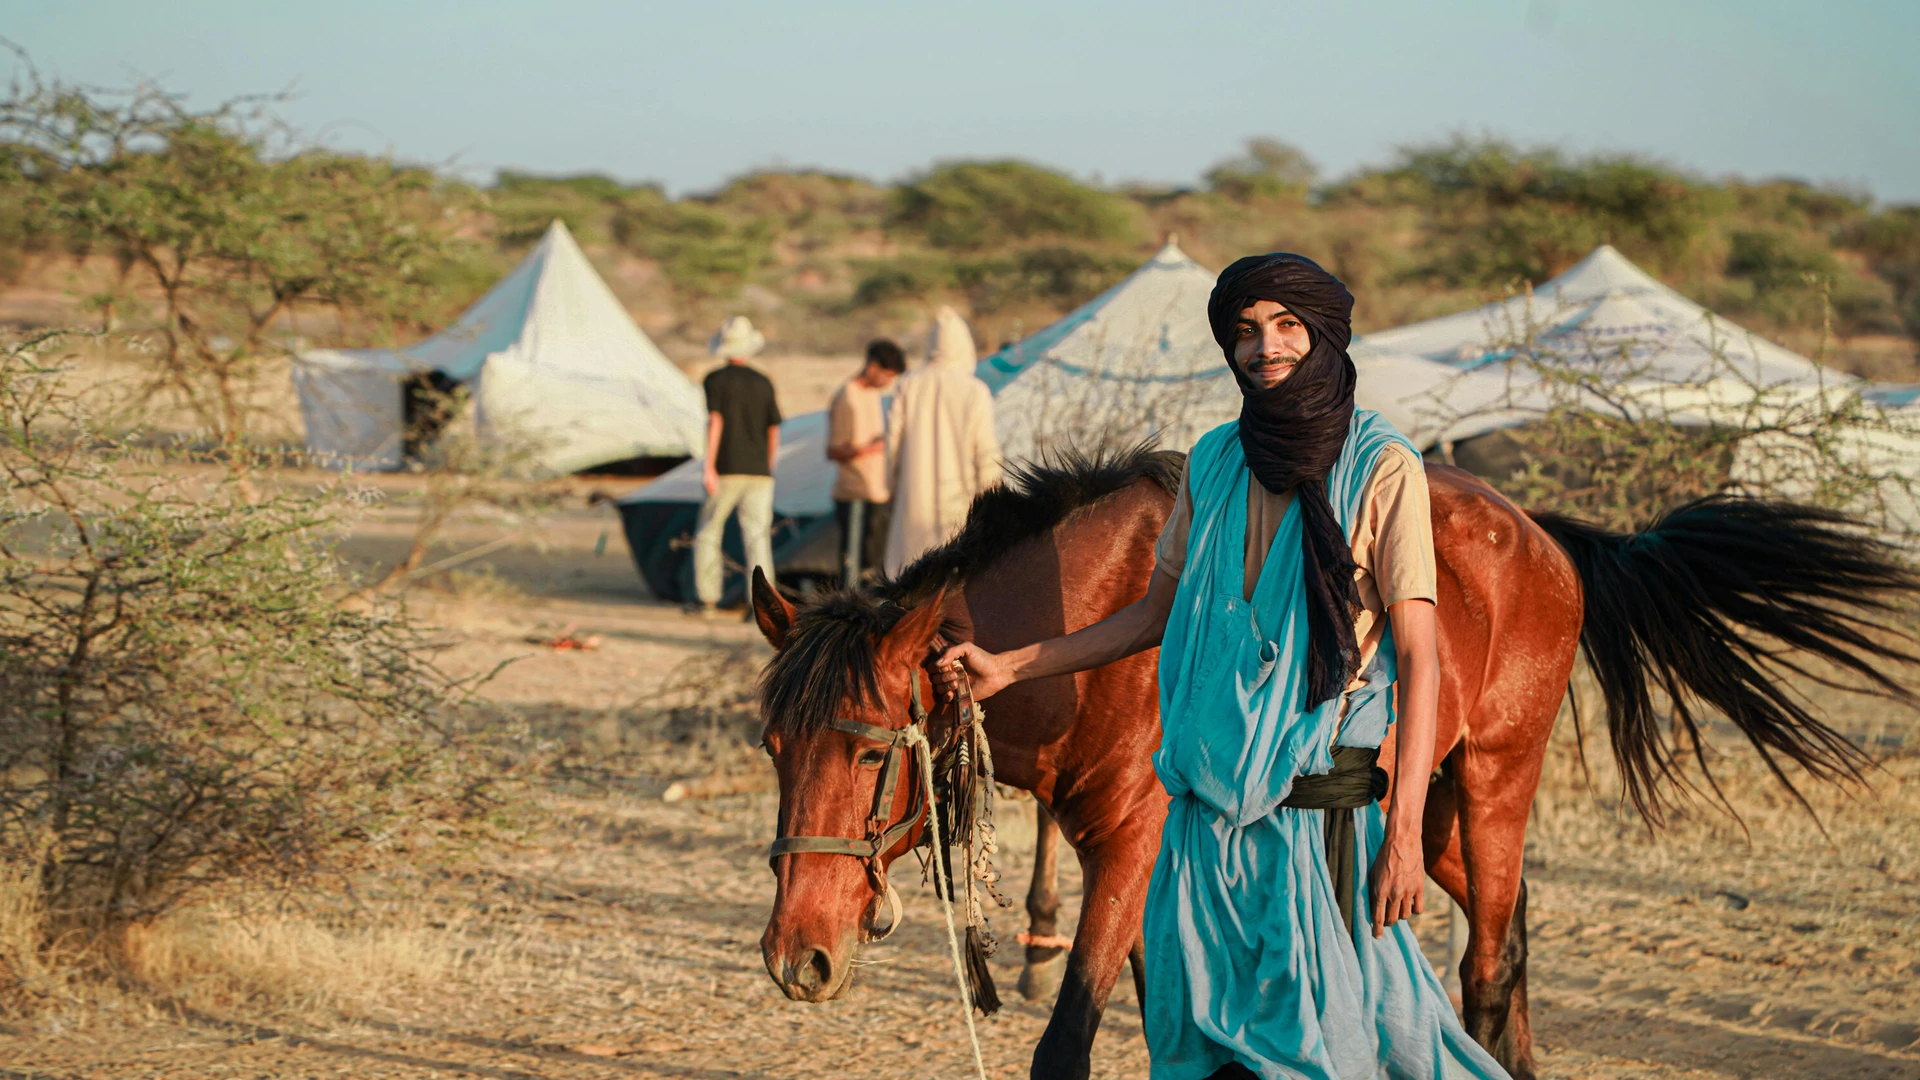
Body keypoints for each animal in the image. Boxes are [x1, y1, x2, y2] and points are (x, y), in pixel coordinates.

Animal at [750, 445, 1915, 1080]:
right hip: (1428, 821)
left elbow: (1069, 1040)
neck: (1092, 630)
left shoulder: (1128, 845)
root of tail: (1539, 533)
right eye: (775, 748)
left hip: (1496, 779)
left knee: (1489, 967)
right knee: (1516, 931)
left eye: (866, 752)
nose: (796, 958)